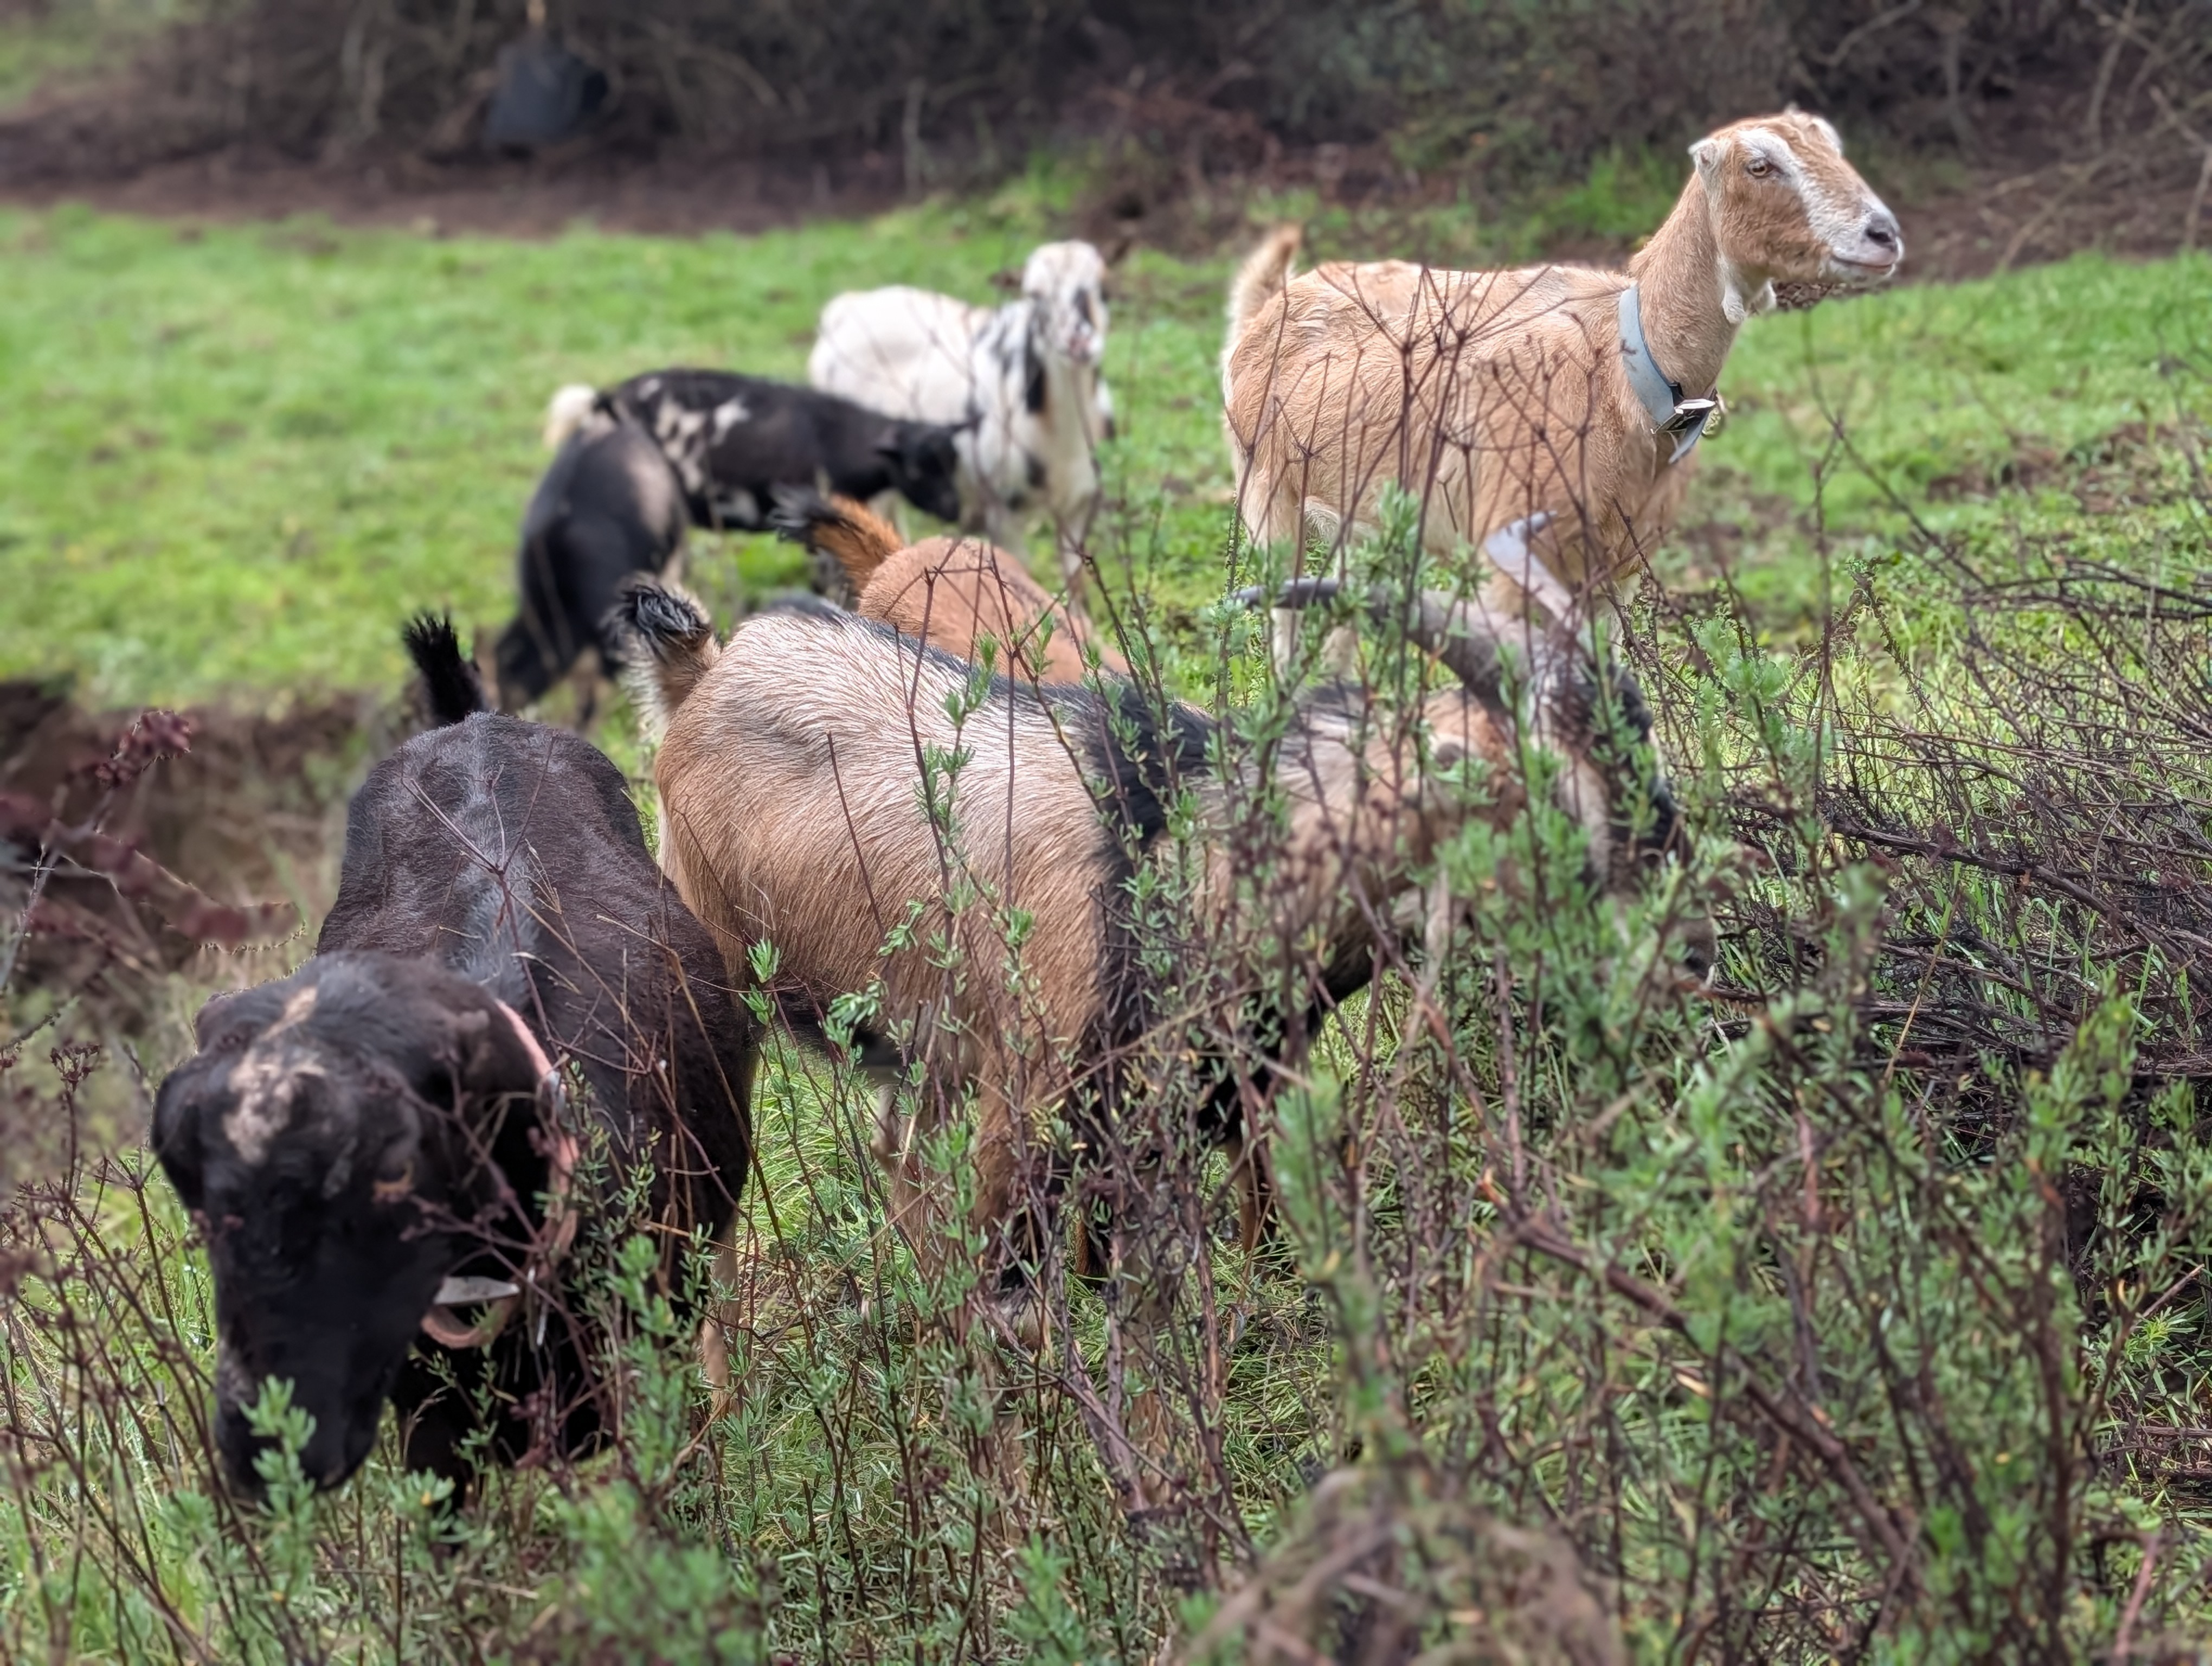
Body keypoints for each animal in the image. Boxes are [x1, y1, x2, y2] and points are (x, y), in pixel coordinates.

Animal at [807, 240, 1115, 591]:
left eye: (1104, 289)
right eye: (1034, 296)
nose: (1079, 342)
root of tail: (846, 308)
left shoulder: (1080, 504)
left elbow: (1076, 580)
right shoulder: (1002, 508)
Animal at [1223, 112, 1901, 624]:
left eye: (1834, 148)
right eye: (1759, 166)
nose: (1884, 235)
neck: (1627, 363)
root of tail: (1271, 303)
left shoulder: (1618, 566)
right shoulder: (1507, 554)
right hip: (1268, 497)